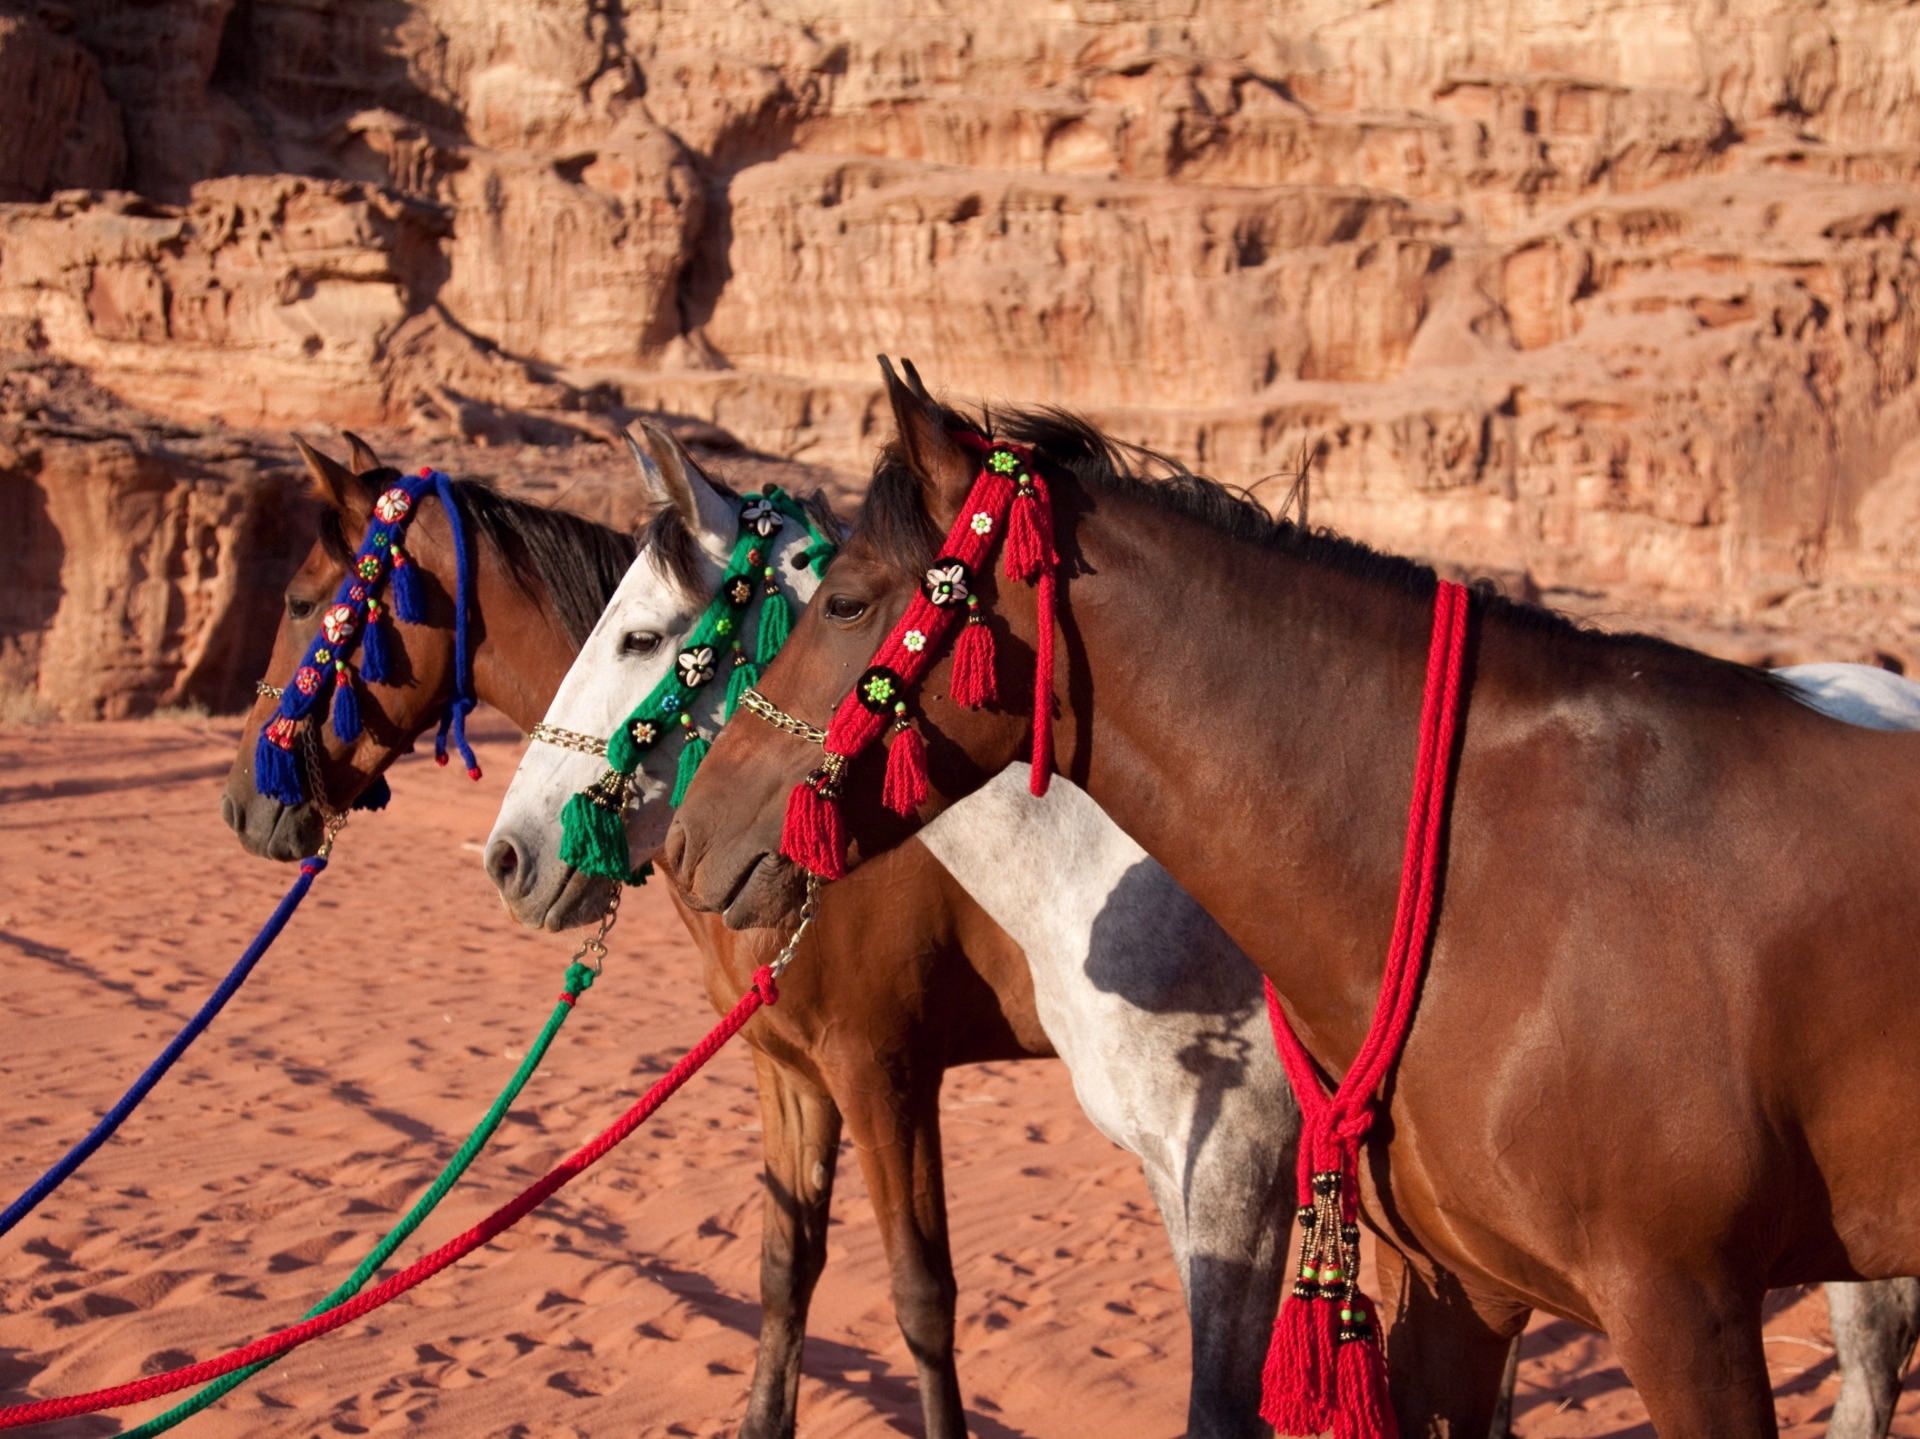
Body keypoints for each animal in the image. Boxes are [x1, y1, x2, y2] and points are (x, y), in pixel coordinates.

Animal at [487, 420, 1295, 1439]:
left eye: (641, 637)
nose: (508, 856)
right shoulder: (792, 1070)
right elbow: (786, 1267)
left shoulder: (892, 1075)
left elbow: (921, 1295)